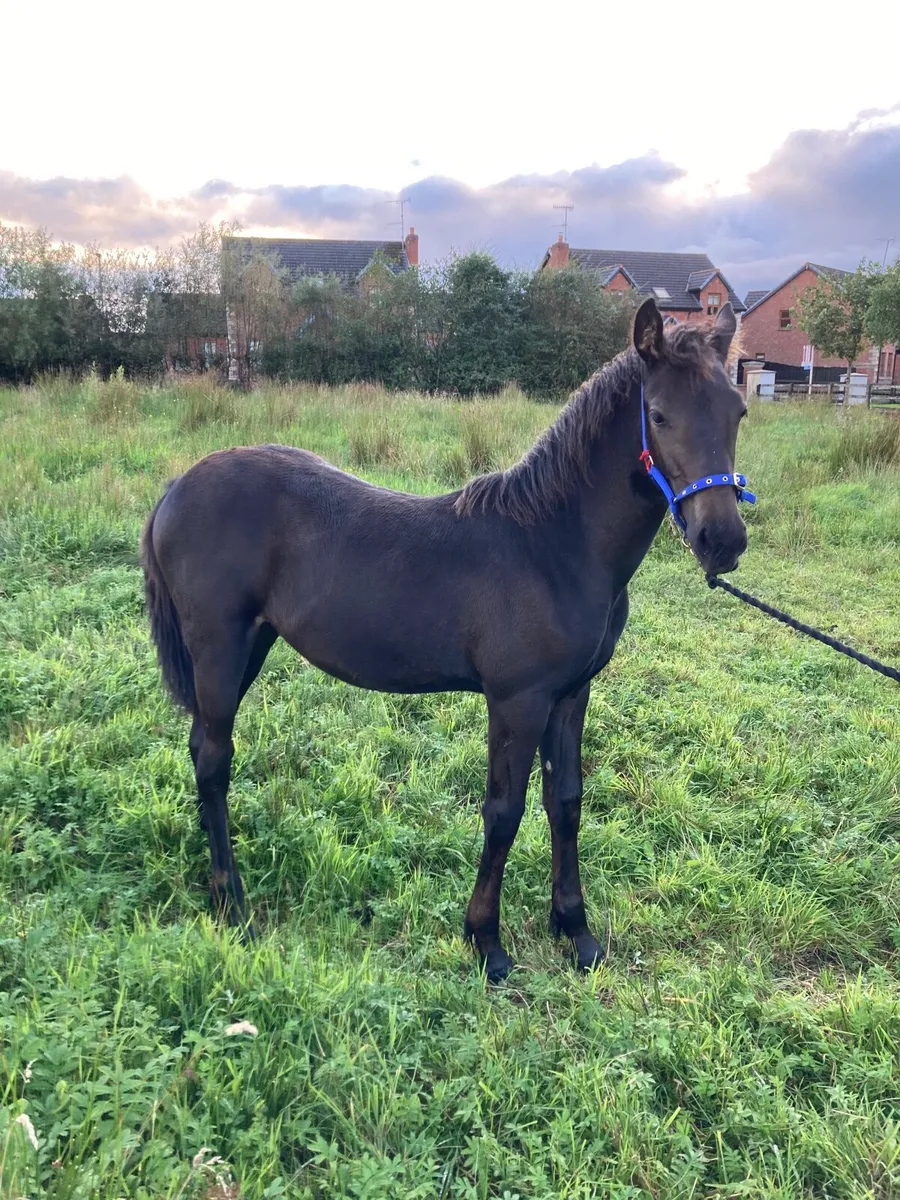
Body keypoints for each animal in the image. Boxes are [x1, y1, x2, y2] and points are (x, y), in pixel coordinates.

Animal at [141, 297, 752, 982]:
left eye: (737, 412)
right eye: (660, 414)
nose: (723, 541)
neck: (552, 547)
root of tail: (175, 489)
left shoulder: (571, 694)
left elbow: (565, 800)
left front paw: (577, 932)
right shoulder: (517, 700)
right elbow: (504, 811)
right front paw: (487, 941)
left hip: (250, 646)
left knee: (200, 747)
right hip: (219, 650)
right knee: (214, 758)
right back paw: (233, 902)